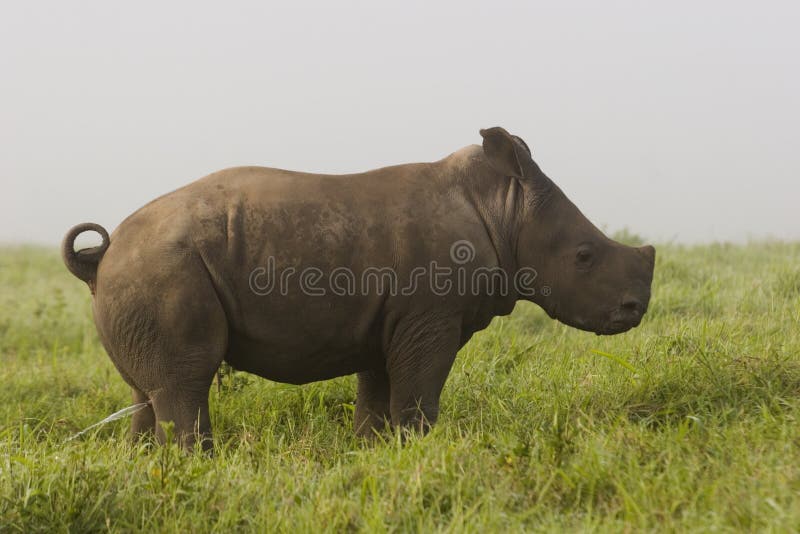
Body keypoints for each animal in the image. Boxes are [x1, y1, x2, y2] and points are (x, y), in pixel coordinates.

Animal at [64, 127, 656, 450]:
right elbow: (418, 394)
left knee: (148, 390)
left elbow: (379, 395)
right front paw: (419, 452)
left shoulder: (391, 319)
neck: (502, 208)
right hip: (164, 267)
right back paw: (195, 465)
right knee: (185, 381)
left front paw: (372, 454)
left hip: (147, 272)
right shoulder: (431, 316)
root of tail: (102, 258)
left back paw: (150, 466)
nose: (635, 309)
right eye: (584, 257)